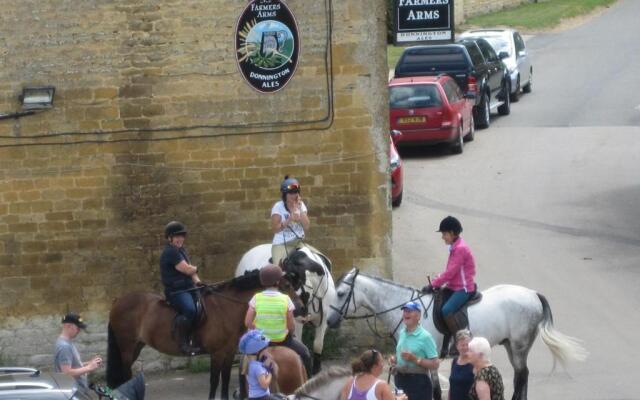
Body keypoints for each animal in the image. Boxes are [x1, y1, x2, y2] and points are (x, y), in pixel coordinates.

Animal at [106, 268, 304, 400]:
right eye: (286, 285)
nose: (301, 308)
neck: (226, 306)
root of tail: (118, 301)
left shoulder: (228, 352)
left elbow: (225, 379)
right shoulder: (216, 353)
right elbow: (214, 380)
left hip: (136, 347)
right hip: (126, 346)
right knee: (125, 373)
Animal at [328, 268, 588, 400]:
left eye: (340, 293)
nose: (330, 321)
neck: (407, 308)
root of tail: (533, 294)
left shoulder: (430, 359)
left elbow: (433, 390)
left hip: (519, 345)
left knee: (521, 376)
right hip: (510, 345)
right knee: (520, 376)